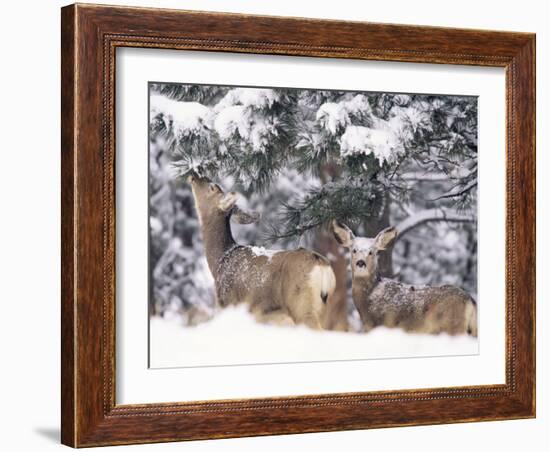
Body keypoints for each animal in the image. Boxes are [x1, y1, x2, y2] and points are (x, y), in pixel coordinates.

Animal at [189, 175, 336, 330]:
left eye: (212, 187)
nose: (194, 176)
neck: (220, 260)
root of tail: (322, 265)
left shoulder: (229, 304)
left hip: (301, 305)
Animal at [332, 221, 478, 338]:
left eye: (371, 252)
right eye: (354, 250)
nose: (361, 263)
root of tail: (470, 300)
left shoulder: (386, 324)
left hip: (453, 325)